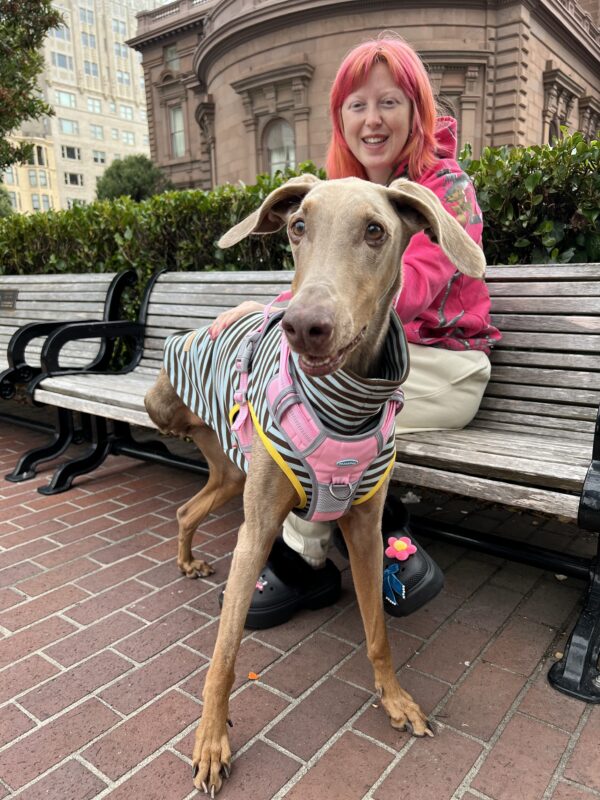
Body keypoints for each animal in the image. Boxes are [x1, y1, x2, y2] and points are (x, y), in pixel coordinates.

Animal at [145, 175, 488, 792]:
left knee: (187, 510)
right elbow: (224, 655)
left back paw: (186, 560)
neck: (344, 408)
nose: (303, 325)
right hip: (230, 467)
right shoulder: (257, 529)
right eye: (298, 226)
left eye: (376, 230)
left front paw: (394, 699)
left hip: (230, 471)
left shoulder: (366, 528)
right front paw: (211, 741)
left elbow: (378, 631)